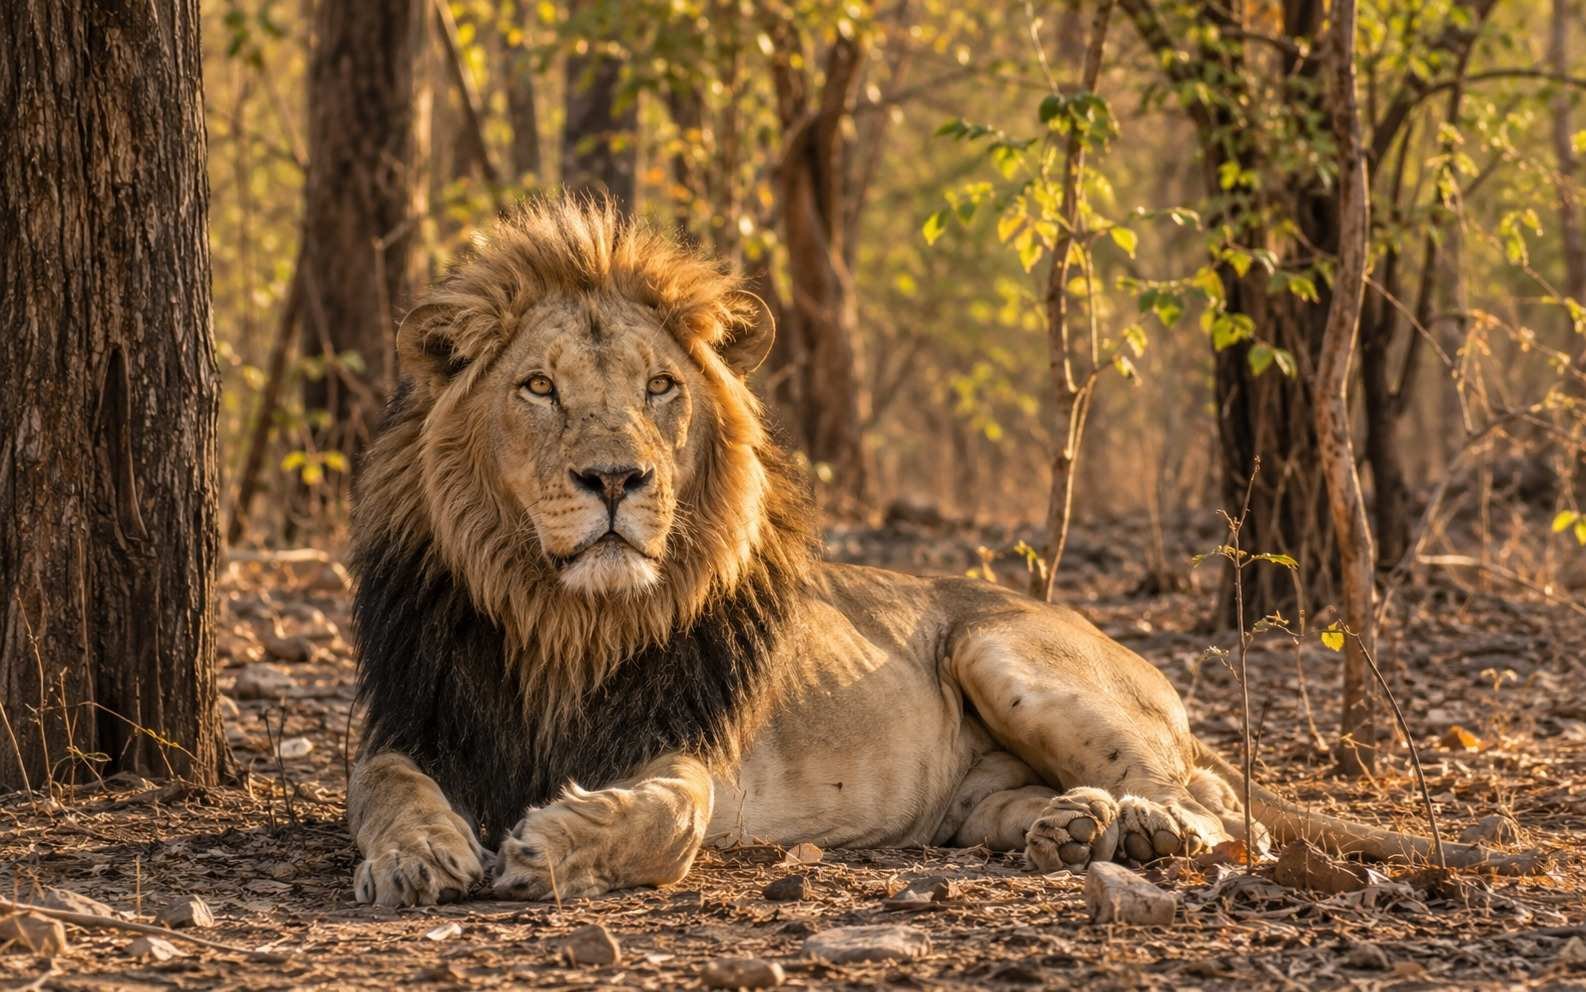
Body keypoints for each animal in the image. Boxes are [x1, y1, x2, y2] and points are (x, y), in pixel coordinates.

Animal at [346, 196, 1496, 907]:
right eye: (538, 387)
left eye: (659, 387)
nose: (615, 480)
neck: (564, 619)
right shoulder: (416, 722)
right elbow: (384, 790)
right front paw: (419, 858)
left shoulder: (683, 746)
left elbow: (668, 816)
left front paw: (547, 843)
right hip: (978, 778)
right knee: (1042, 806)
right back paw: (1074, 828)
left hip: (1002, 652)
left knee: (1222, 809)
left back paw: (1146, 828)